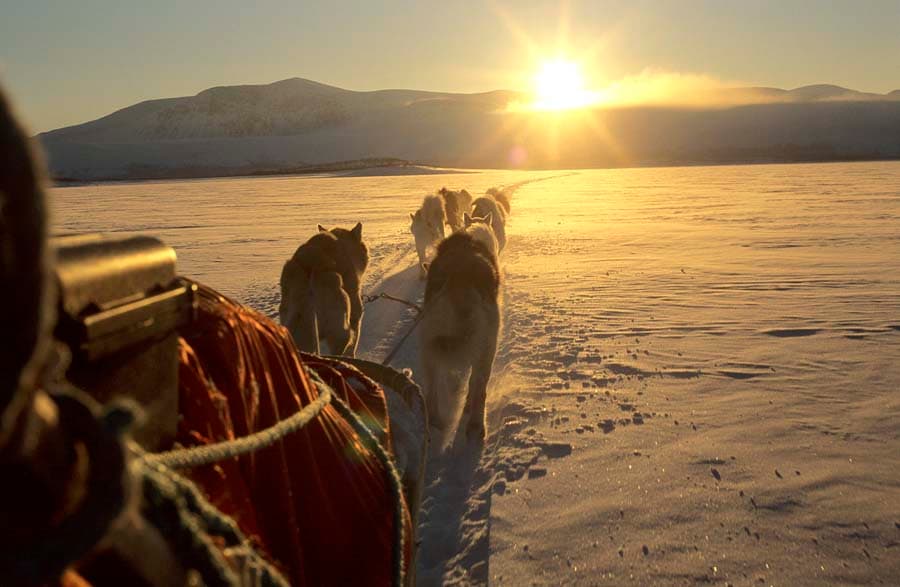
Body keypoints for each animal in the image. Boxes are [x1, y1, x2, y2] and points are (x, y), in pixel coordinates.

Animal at [420, 231, 500, 446]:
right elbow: (473, 383)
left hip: (429, 348)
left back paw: (433, 423)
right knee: (480, 389)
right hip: (488, 350)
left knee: (431, 391)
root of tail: (459, 277)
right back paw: (476, 426)